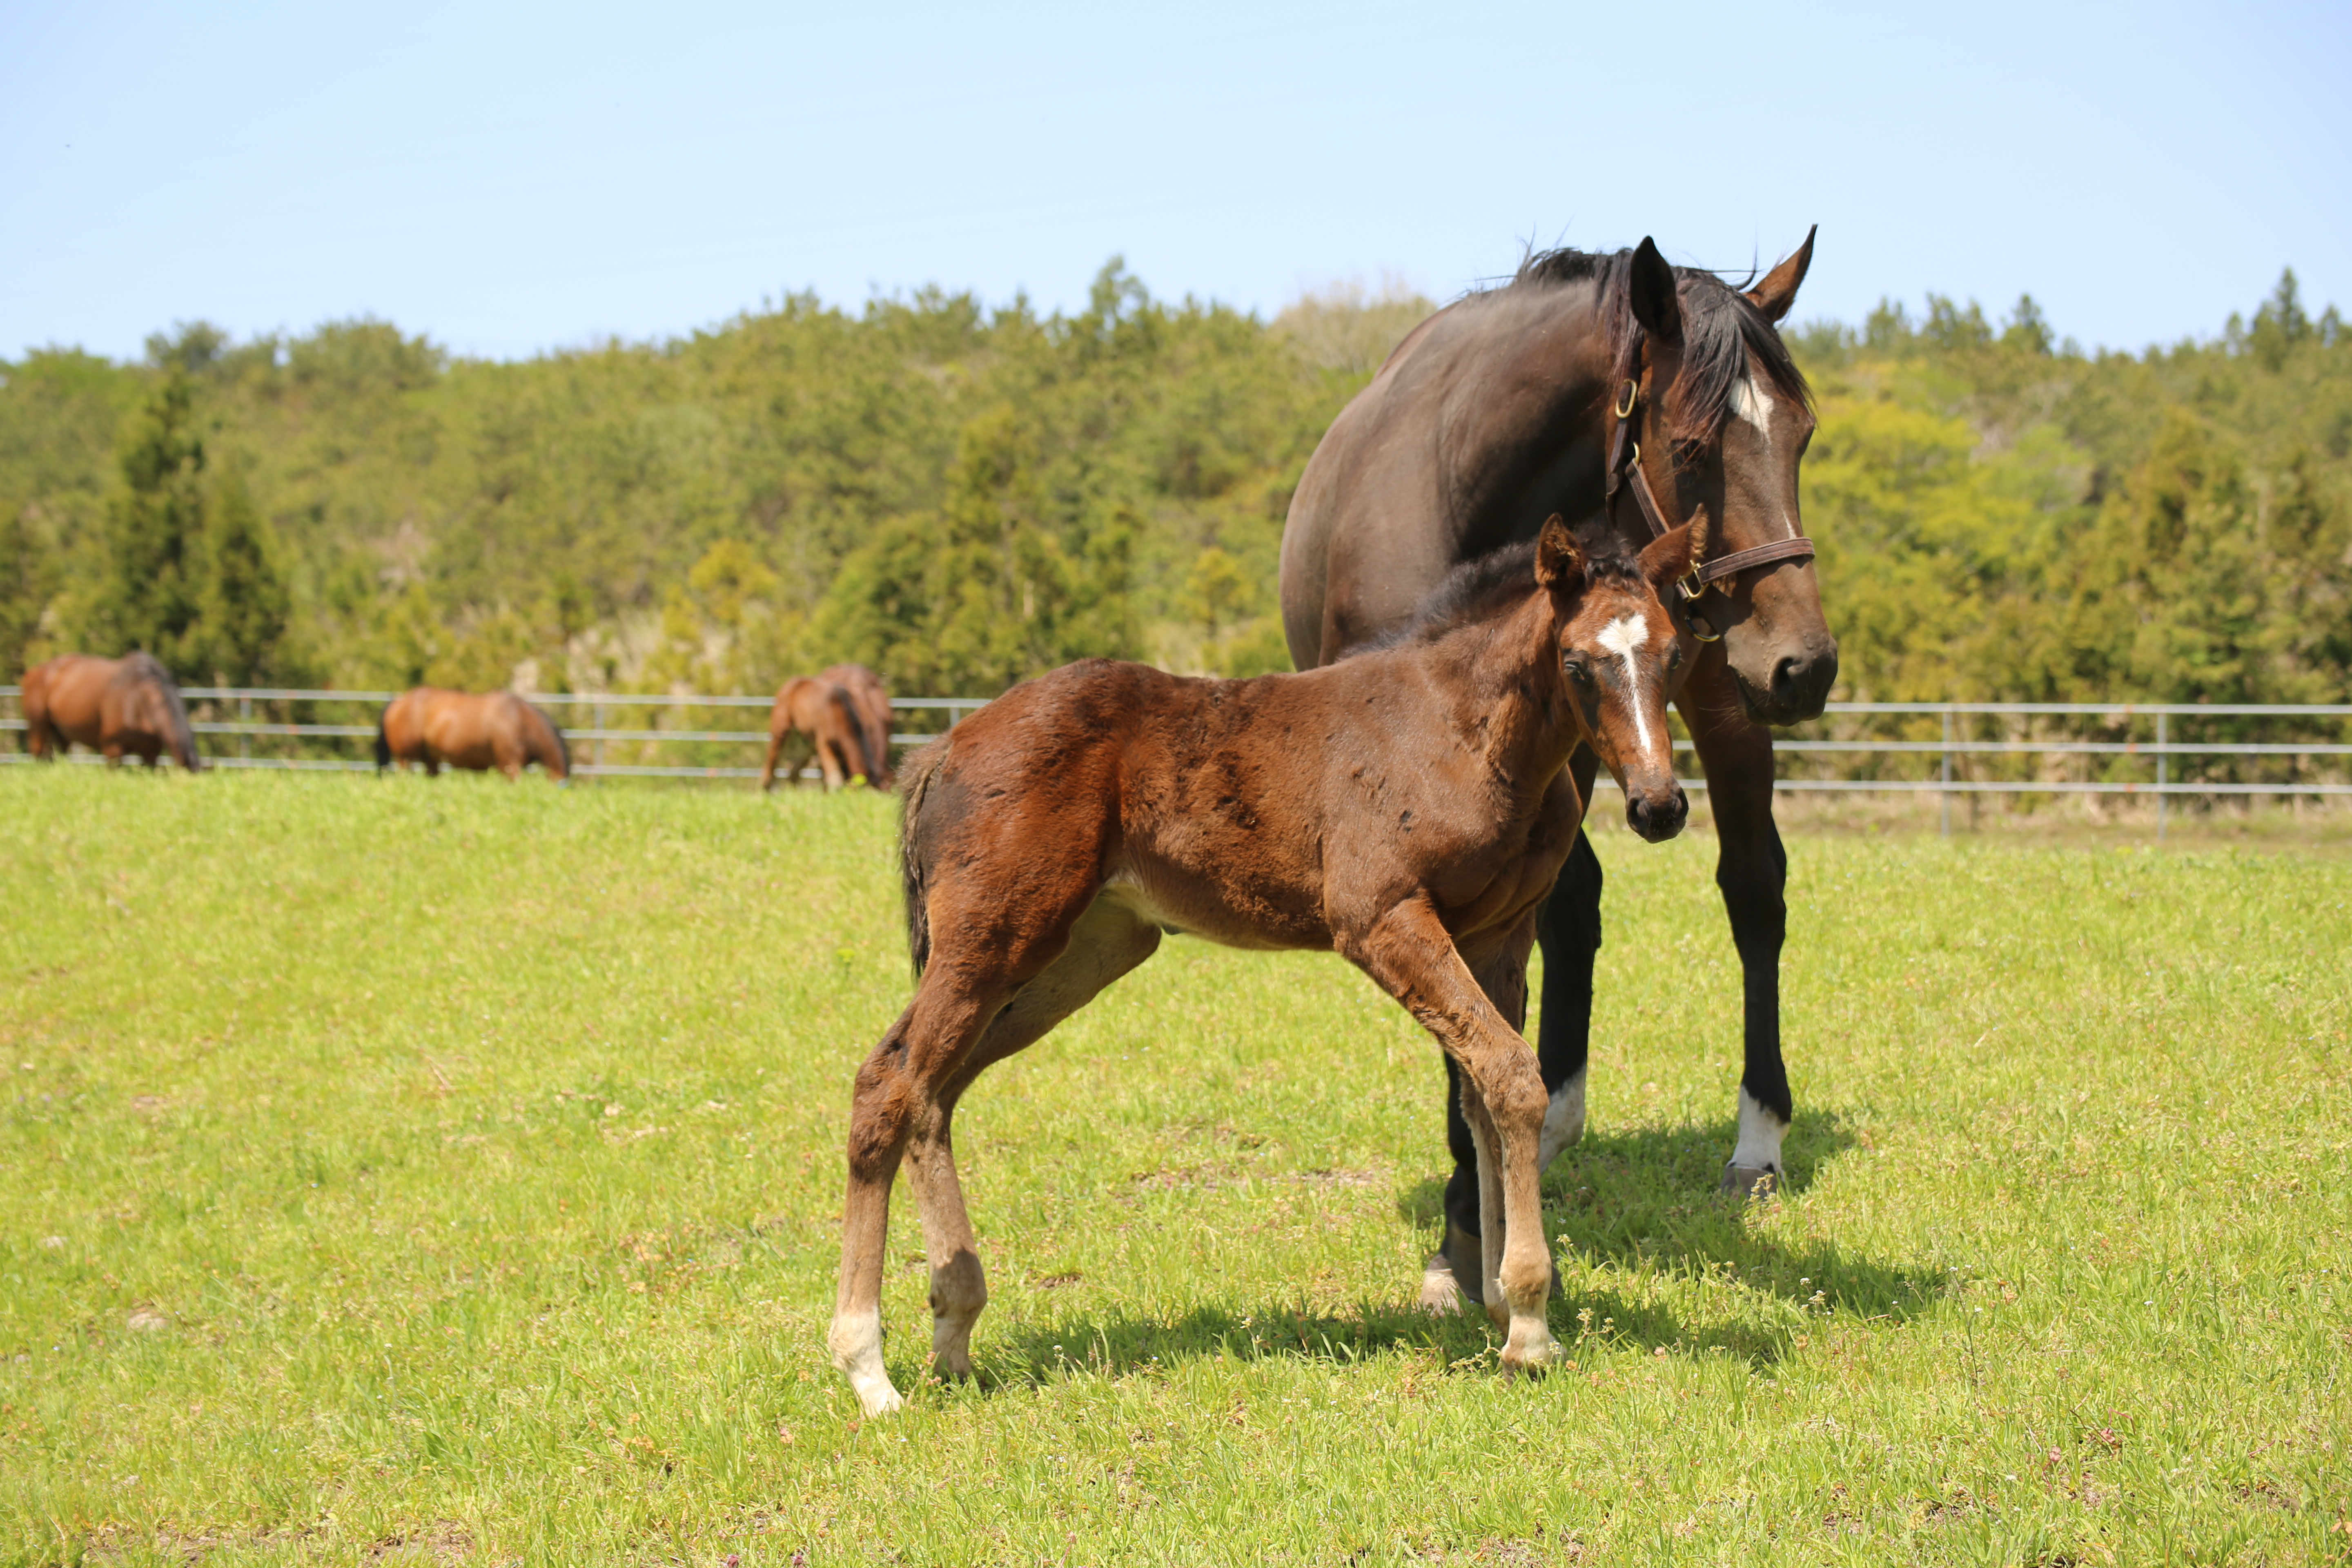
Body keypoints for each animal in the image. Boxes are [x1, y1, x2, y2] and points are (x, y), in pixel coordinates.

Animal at [20, 653, 202, 771]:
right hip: (39, 727)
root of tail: (32, 672)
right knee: (37, 752)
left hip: (61, 734)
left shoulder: (151, 753)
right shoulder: (113, 748)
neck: (139, 700)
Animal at [757, 677, 870, 799]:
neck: (837, 709)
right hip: (781, 731)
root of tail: (789, 685)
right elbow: (834, 779)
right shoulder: (824, 745)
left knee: (794, 771)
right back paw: (765, 789)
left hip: (806, 744)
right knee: (773, 758)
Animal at [837, 517, 1703, 1420]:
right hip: (995, 940)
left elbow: (1483, 1100)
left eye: (1676, 652)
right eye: (1578, 663)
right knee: (887, 1083)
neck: (1459, 732)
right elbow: (1513, 1077)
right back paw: (869, 1368)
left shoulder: (1500, 934)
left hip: (1078, 954)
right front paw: (1530, 1326)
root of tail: (941, 747)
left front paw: (1503, 1303)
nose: (1659, 805)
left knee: (934, 1091)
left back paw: (954, 1330)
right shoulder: (1381, 919)